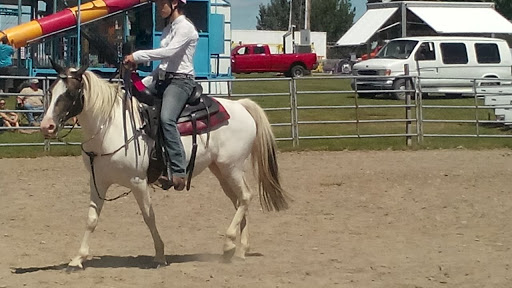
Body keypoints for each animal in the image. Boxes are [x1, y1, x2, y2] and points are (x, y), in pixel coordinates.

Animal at [40, 60, 290, 270]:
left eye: (70, 93)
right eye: (51, 91)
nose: (46, 126)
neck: (110, 126)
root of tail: (241, 106)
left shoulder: (138, 181)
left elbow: (148, 217)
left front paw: (160, 255)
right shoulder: (98, 181)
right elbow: (92, 219)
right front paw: (77, 259)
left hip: (232, 167)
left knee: (246, 197)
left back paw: (228, 245)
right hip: (221, 171)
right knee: (239, 200)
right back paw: (240, 251)